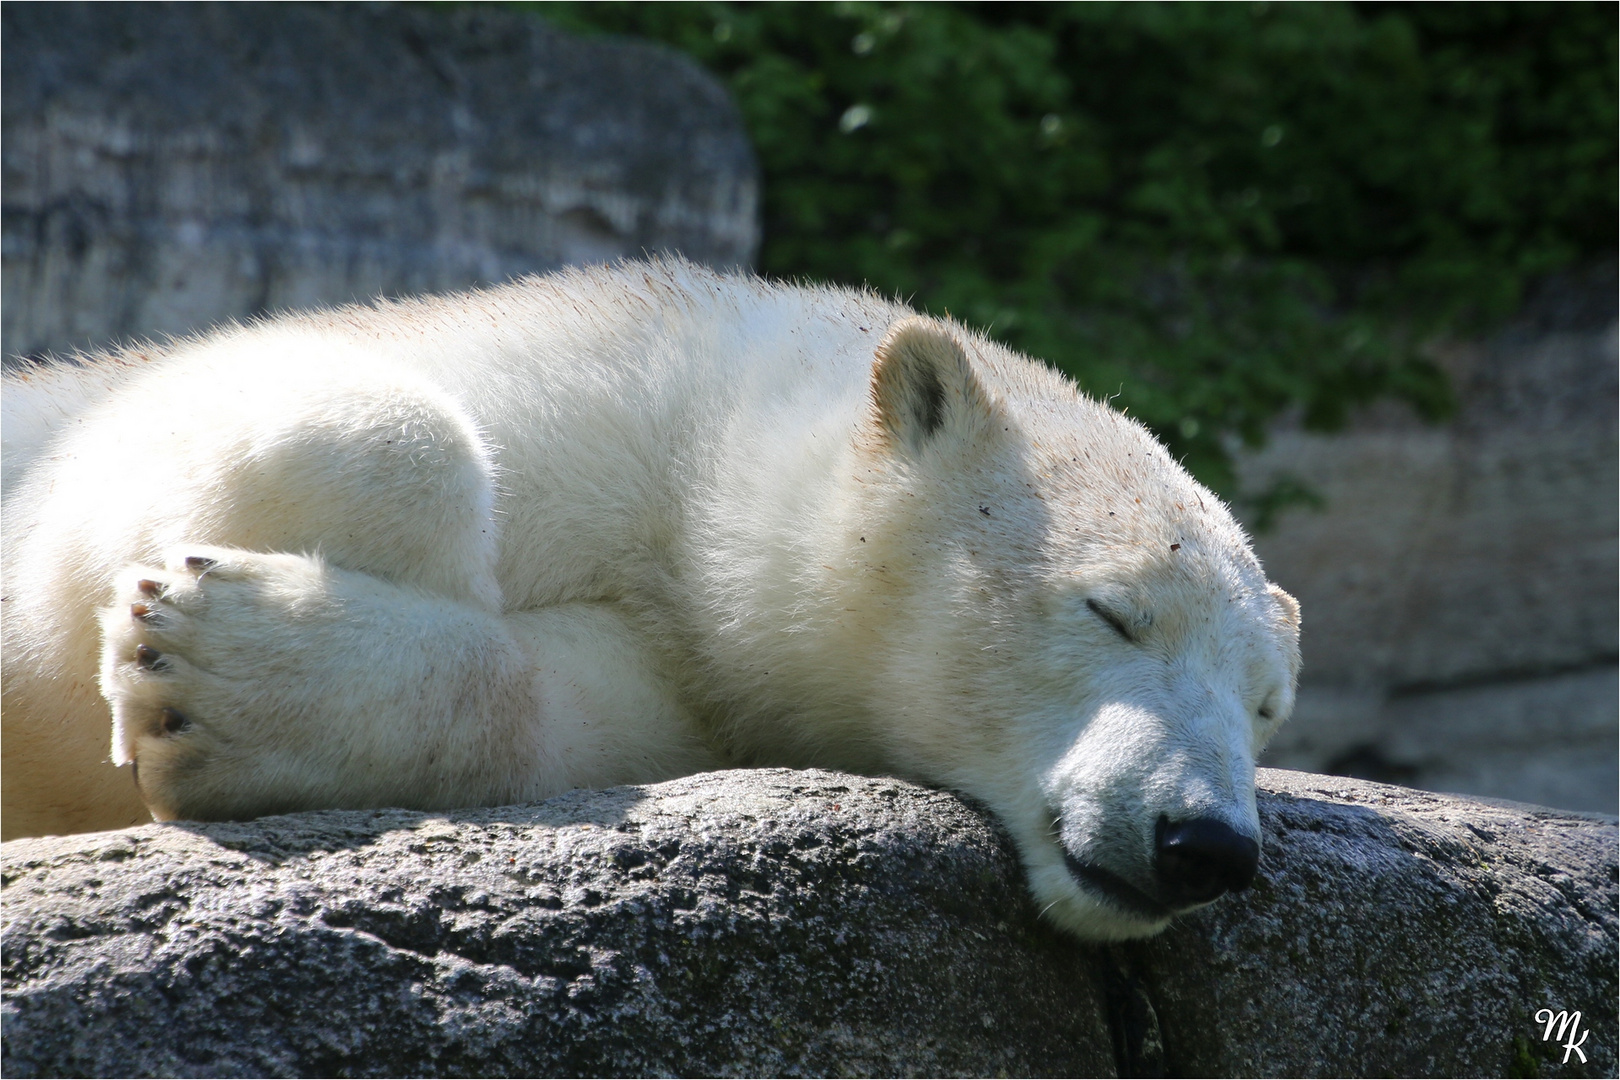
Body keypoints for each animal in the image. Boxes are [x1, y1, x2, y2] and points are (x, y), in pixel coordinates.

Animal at [0, 257, 1289, 939]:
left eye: (1266, 703)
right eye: (1110, 609)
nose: (1205, 843)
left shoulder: (686, 682)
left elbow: (547, 707)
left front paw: (224, 683)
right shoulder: (573, 379)